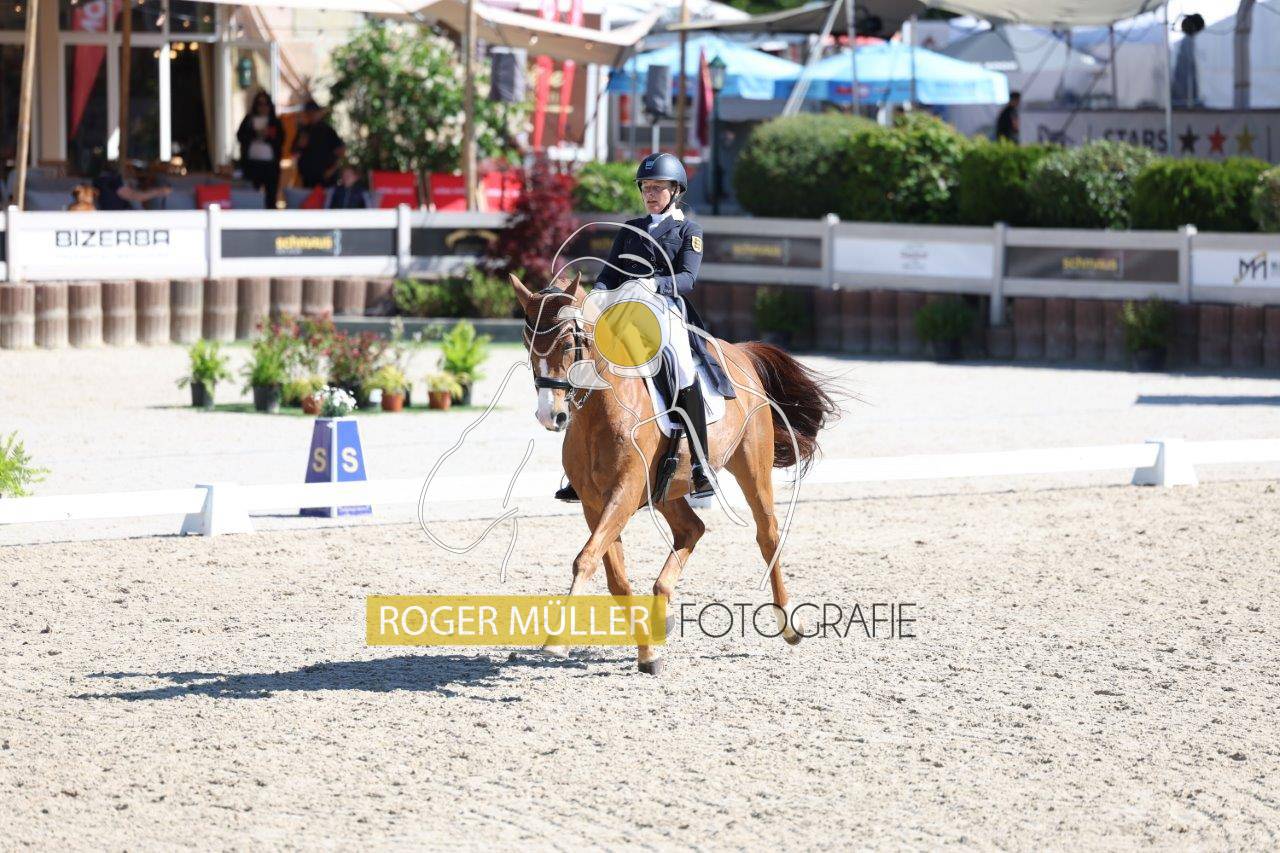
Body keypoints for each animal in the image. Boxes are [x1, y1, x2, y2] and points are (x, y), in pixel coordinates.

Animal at [510, 272, 840, 674]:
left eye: (569, 342)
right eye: (527, 342)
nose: (550, 415)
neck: (600, 408)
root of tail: (740, 352)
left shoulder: (622, 494)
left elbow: (585, 559)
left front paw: (556, 642)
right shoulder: (594, 503)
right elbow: (615, 578)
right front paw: (647, 652)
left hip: (751, 467)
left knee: (767, 535)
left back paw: (789, 623)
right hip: (666, 490)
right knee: (692, 529)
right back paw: (661, 612)